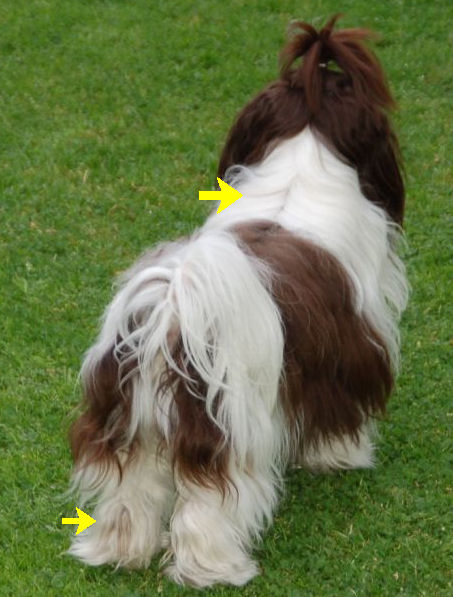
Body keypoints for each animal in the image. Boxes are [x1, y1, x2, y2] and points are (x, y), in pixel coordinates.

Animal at [68, 15, 410, 588]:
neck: (302, 164)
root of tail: (171, 318)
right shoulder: (350, 349)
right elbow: (341, 413)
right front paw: (341, 457)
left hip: (129, 425)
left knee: (130, 494)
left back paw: (117, 552)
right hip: (225, 433)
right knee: (209, 507)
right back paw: (215, 570)